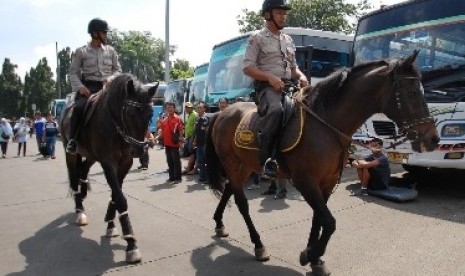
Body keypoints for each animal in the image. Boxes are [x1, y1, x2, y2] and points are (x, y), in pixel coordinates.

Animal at [59, 74, 158, 264]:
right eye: (130, 113)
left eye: (150, 114)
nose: (139, 150)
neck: (115, 126)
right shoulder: (108, 162)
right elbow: (119, 197)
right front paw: (131, 243)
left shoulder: (125, 163)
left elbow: (115, 194)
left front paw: (111, 224)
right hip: (70, 153)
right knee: (74, 178)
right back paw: (79, 211)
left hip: (90, 156)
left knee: (83, 171)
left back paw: (83, 193)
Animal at [206, 50, 438, 274]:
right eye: (412, 93)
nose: (433, 139)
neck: (326, 125)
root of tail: (222, 112)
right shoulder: (305, 181)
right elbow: (329, 221)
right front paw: (310, 254)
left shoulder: (327, 181)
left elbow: (320, 218)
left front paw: (314, 257)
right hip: (233, 164)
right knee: (242, 203)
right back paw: (258, 245)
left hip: (244, 166)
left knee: (229, 190)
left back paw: (219, 223)